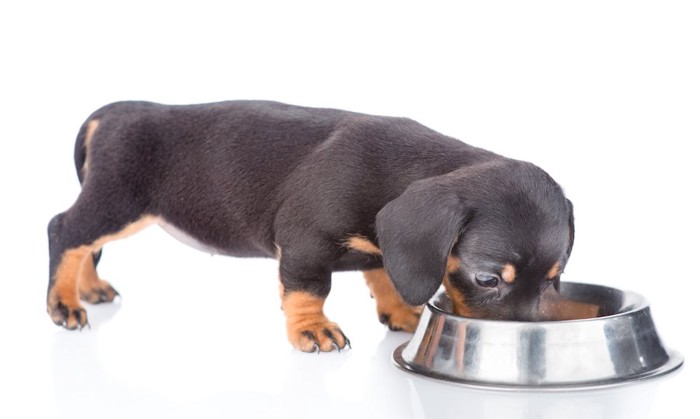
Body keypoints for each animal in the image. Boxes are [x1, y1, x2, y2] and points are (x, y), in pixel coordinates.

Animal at [47, 101, 576, 352]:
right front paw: (313, 330)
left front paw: (400, 312)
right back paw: (65, 304)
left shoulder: (381, 246)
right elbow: (308, 290)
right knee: (65, 232)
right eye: (487, 278)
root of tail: (114, 112)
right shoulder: (304, 242)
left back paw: (88, 289)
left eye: (555, 280)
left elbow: (384, 275)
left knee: (84, 244)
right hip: (118, 202)